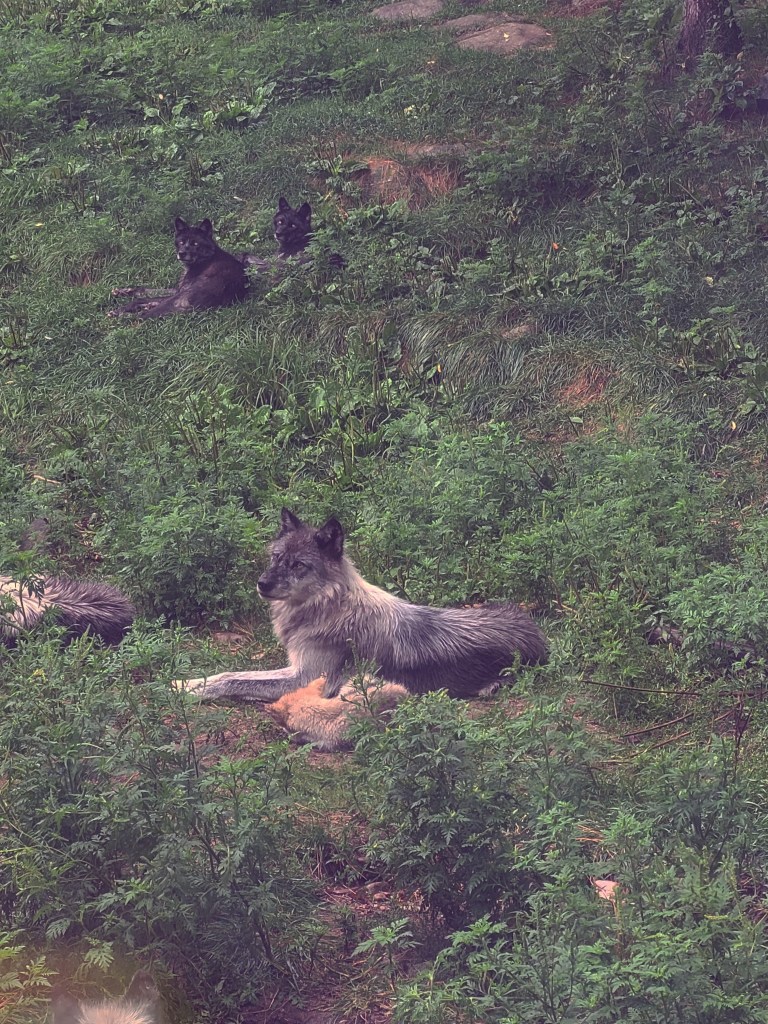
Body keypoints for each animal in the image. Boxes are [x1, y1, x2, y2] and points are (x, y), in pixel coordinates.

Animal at [110, 218, 247, 319]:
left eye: (195, 243)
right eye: (181, 242)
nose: (181, 253)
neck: (206, 258)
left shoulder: (180, 292)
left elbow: (147, 297)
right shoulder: (178, 289)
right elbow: (147, 291)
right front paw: (124, 291)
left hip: (180, 297)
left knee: (144, 315)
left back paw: (123, 314)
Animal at [178, 509, 547, 704]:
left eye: (298, 565)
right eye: (276, 558)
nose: (262, 584)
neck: (331, 606)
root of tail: (540, 640)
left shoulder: (305, 679)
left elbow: (235, 682)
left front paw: (188, 692)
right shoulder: (295, 667)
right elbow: (230, 673)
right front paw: (184, 684)